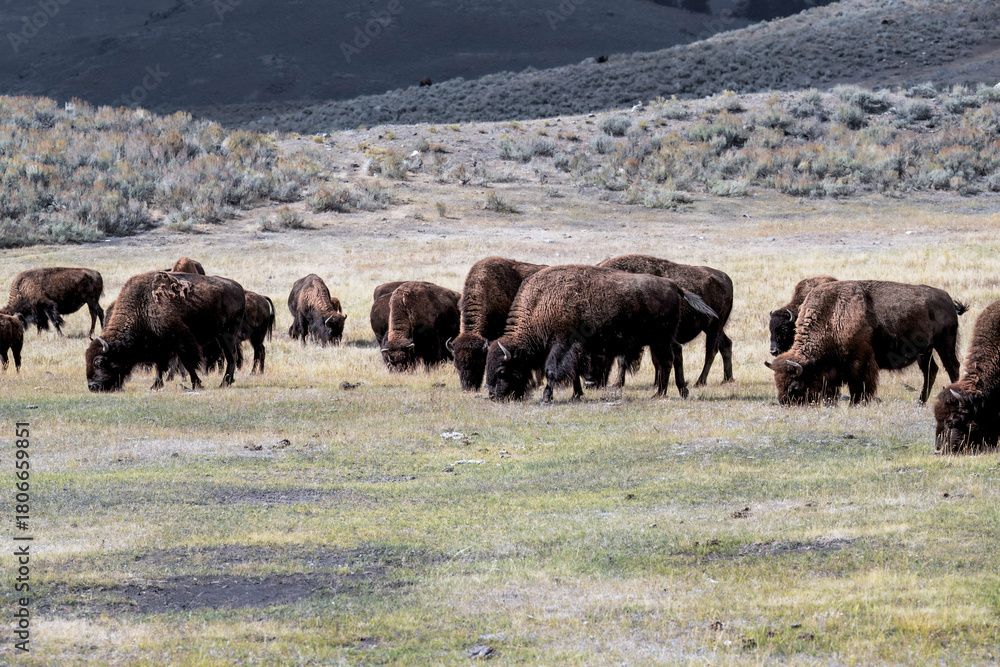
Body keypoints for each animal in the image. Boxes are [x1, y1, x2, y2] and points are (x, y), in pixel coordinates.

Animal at [86, 271, 245, 391]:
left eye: (99, 362)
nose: (93, 386)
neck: (141, 307)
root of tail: (239, 288)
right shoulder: (160, 348)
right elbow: (160, 367)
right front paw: (155, 386)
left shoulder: (181, 342)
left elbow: (188, 364)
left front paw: (197, 384)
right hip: (221, 335)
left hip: (227, 333)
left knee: (232, 357)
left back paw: (224, 383)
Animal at [485, 265, 717, 402]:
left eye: (502, 371)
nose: (494, 396)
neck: (541, 303)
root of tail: (674, 285)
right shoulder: (577, 350)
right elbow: (576, 373)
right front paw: (577, 395)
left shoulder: (561, 345)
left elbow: (552, 371)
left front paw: (547, 397)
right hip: (661, 339)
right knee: (675, 355)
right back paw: (678, 391)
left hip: (661, 339)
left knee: (667, 360)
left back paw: (661, 393)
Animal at [595, 254, 734, 396]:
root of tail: (724, 278)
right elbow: (655, 360)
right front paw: (656, 383)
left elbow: (623, 360)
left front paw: (617, 383)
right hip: (712, 328)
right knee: (725, 344)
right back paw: (726, 379)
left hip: (714, 328)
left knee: (711, 351)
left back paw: (700, 382)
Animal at [766, 280, 966, 405]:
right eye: (777, 383)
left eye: (794, 386)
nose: (785, 403)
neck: (832, 315)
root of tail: (947, 299)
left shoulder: (860, 361)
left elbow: (858, 386)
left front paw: (856, 403)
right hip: (925, 351)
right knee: (931, 371)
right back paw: (920, 402)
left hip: (945, 344)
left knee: (952, 367)